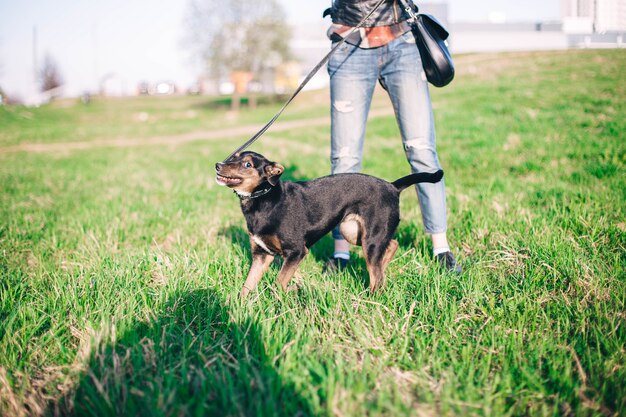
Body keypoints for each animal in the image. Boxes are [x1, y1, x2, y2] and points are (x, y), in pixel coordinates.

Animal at [217, 151, 442, 298]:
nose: (218, 165)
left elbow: (279, 281)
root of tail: (393, 187)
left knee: (377, 274)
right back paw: (383, 267)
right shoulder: (261, 255)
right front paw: (239, 307)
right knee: (391, 245)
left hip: (370, 239)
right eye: (233, 157)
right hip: (353, 231)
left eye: (247, 165)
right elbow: (247, 285)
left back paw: (371, 297)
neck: (263, 197)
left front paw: (283, 295)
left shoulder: (296, 251)